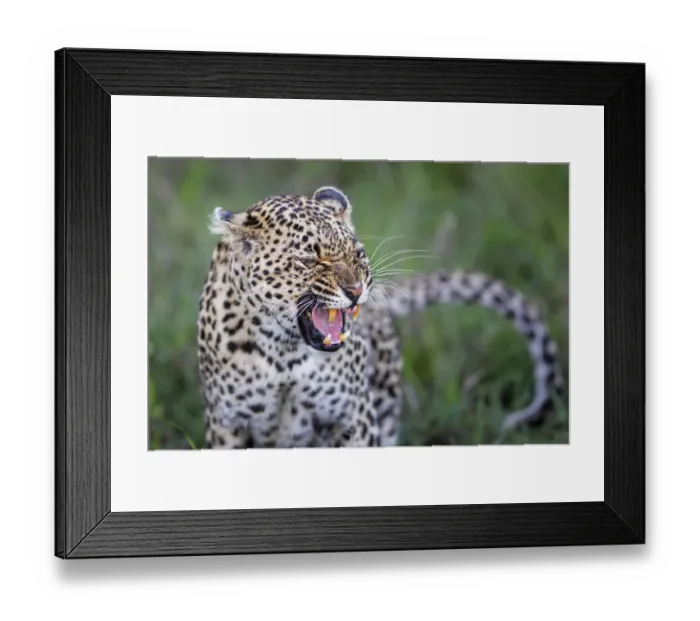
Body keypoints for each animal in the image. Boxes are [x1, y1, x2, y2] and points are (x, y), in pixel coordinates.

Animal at [197, 186, 564, 449]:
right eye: (310, 260)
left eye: (357, 254)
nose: (356, 290)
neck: (284, 354)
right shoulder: (227, 425)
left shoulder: (353, 419)